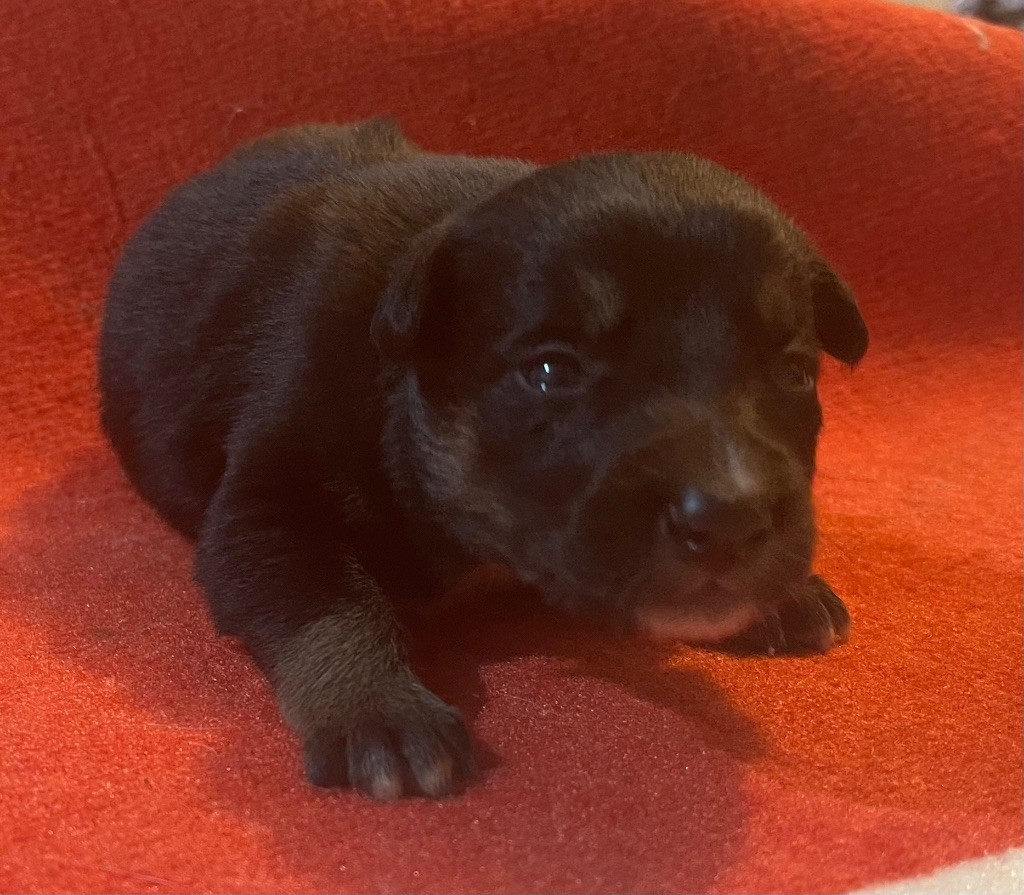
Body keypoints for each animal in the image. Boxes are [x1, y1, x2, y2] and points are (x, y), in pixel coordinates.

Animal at [98, 119, 867, 800]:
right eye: (552, 370)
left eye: (795, 371)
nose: (731, 517)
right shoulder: (271, 495)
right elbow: (325, 599)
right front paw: (379, 707)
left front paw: (783, 593)